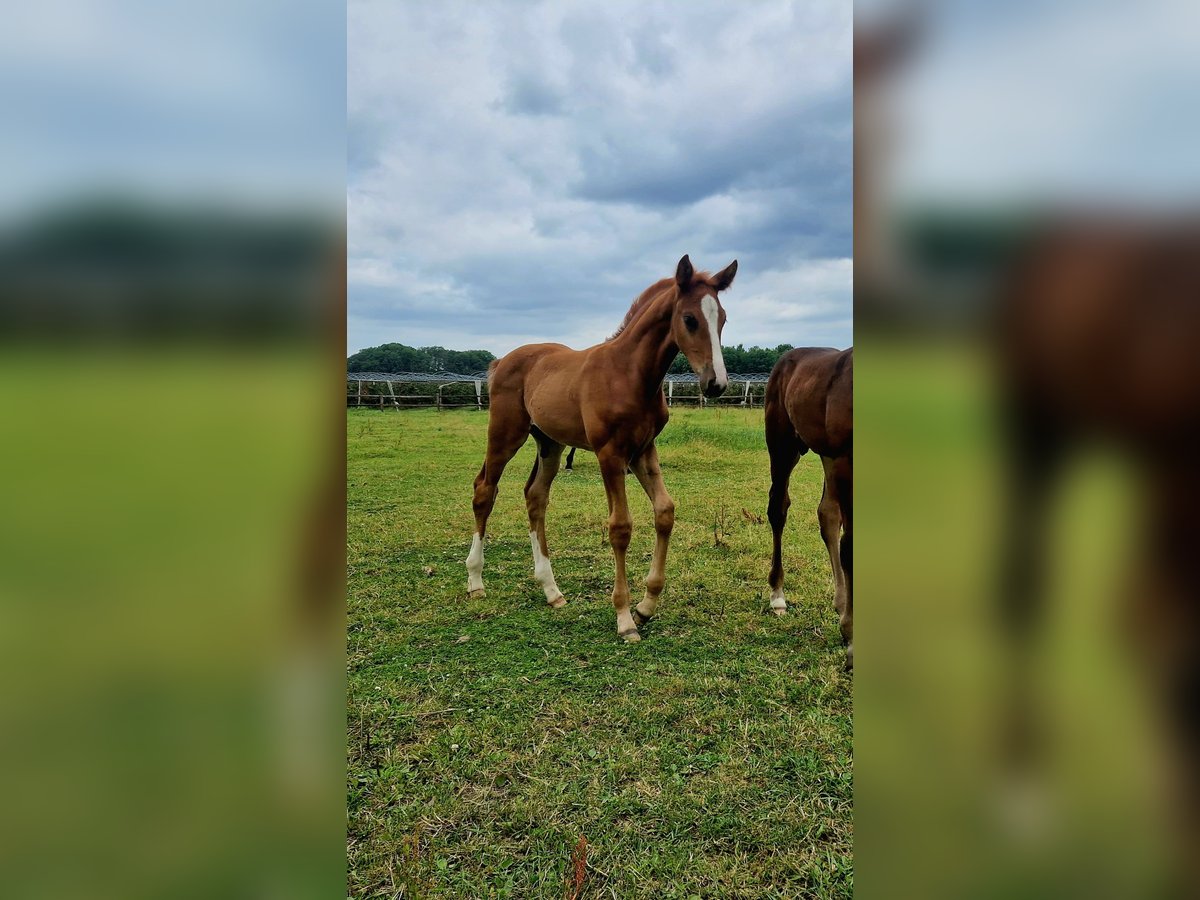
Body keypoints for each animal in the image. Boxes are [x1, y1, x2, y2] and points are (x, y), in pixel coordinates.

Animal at [466, 254, 738, 642]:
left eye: (723, 318)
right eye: (689, 319)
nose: (716, 384)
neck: (629, 374)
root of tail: (501, 360)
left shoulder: (643, 450)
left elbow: (665, 512)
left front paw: (646, 607)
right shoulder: (610, 453)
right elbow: (620, 527)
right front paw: (624, 618)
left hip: (549, 443)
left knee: (535, 496)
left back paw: (551, 590)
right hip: (505, 434)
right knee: (485, 490)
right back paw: (475, 581)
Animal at [764, 347, 854, 667]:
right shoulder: (846, 461)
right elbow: (850, 547)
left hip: (828, 456)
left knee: (827, 515)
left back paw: (841, 605)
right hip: (784, 446)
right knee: (778, 509)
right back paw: (777, 594)